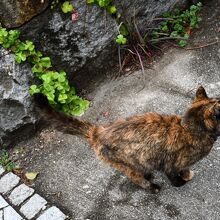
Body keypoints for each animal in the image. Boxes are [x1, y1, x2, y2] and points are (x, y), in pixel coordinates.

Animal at [34, 86, 220, 192]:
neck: (191, 128)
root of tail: (98, 131)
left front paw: (187, 174)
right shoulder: (171, 165)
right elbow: (175, 177)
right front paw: (183, 181)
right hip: (125, 164)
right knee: (136, 178)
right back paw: (152, 187)